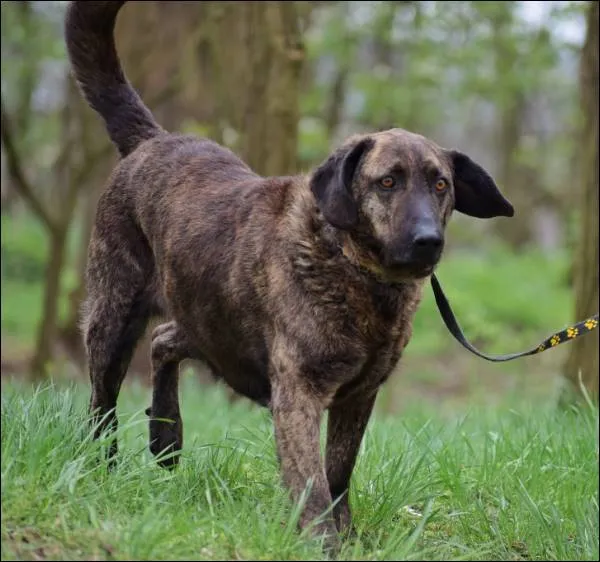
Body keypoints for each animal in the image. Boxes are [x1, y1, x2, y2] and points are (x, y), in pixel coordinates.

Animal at [64, 1, 516, 552]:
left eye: (441, 184)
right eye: (387, 182)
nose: (428, 240)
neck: (352, 268)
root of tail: (153, 140)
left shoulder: (358, 397)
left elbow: (338, 474)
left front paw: (348, 535)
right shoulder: (299, 392)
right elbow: (313, 486)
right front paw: (325, 544)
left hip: (215, 324)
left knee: (166, 337)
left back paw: (166, 435)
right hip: (116, 316)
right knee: (103, 402)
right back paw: (102, 467)